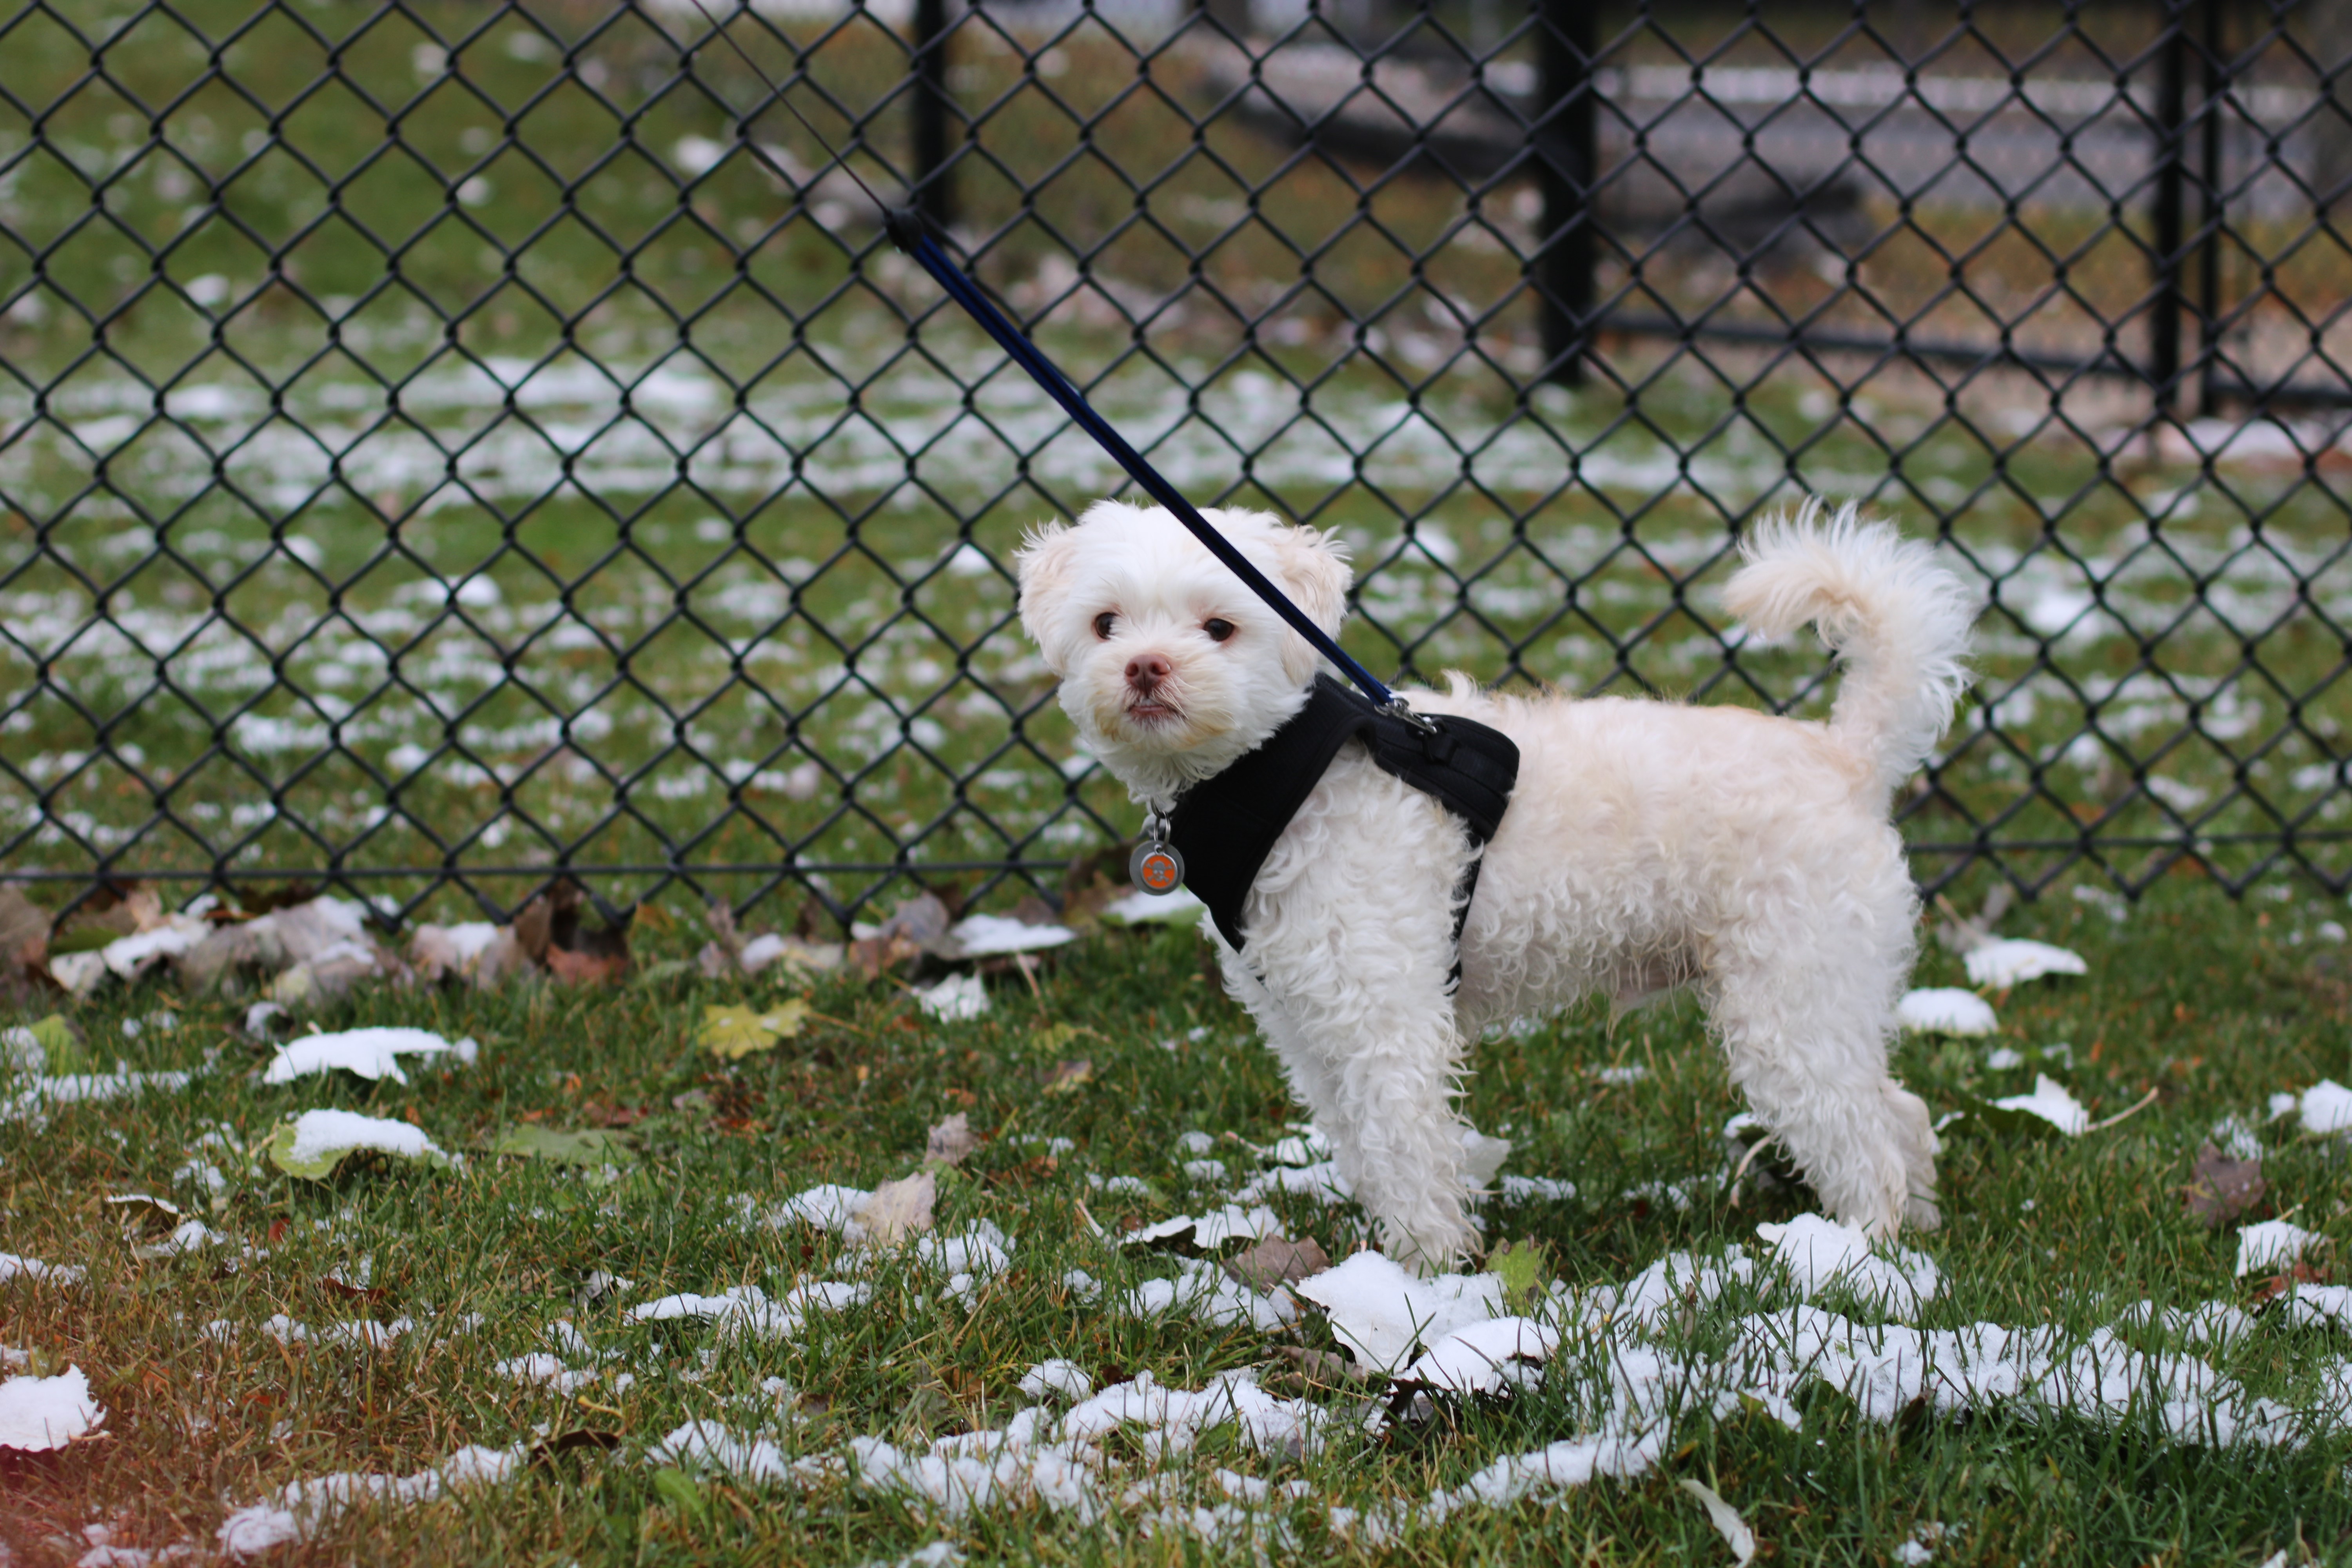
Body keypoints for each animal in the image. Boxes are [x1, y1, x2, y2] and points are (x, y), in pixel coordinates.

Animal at [1021, 503, 1976, 1279]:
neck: (1282, 777)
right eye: (1106, 623)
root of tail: (1849, 756)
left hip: (1792, 997)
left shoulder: (1387, 1017)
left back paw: (1861, 1257)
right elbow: (1365, 1141)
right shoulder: (1305, 1017)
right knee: (1902, 1111)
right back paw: (1921, 1232)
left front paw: (1426, 1278)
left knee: (1866, 1140)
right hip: (1830, 994)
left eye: (1219, 627)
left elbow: (1406, 1146)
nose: (1145, 667)